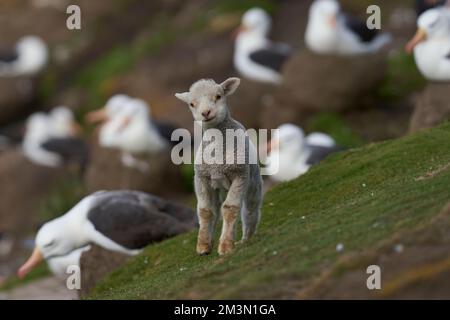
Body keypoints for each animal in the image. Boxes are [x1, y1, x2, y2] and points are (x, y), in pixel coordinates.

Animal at [174, 77, 262, 255]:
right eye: (191, 104)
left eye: (218, 96)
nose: (205, 113)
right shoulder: (201, 178)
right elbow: (206, 211)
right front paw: (203, 246)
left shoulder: (240, 175)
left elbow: (230, 208)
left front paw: (226, 246)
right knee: (216, 207)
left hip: (253, 181)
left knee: (250, 209)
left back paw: (246, 238)